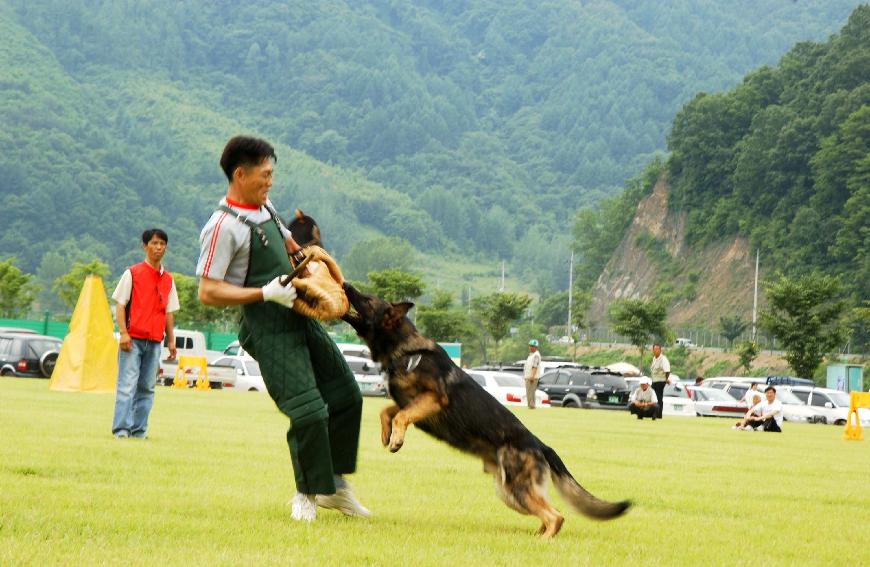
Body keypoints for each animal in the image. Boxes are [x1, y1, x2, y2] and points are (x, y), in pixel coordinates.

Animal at [342, 284, 632, 536]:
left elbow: (401, 415)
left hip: (516, 489)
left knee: (556, 516)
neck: (405, 351)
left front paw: (397, 439)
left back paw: (543, 541)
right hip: (509, 493)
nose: (345, 284)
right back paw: (537, 536)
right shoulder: (409, 401)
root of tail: (540, 444)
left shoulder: (434, 399)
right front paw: (386, 434)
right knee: (549, 514)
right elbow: (387, 411)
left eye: (367, 299)